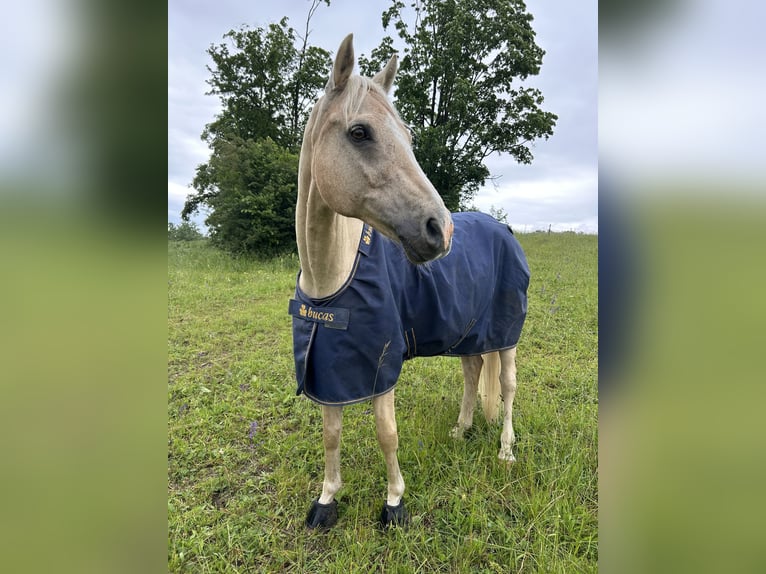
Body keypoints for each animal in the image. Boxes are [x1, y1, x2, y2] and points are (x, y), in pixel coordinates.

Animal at [290, 34, 530, 529]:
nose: (441, 229)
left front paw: (394, 503)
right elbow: (331, 433)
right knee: (472, 371)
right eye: (359, 132)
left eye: (409, 137)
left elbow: (387, 434)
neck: (331, 280)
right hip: (469, 331)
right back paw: (461, 430)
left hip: (506, 334)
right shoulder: (328, 367)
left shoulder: (382, 366)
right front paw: (326, 499)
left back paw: (505, 450)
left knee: (507, 385)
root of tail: (504, 228)